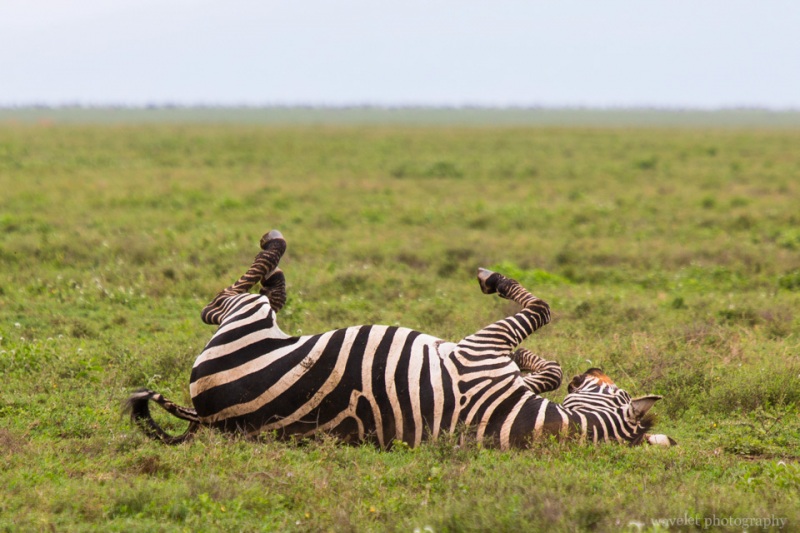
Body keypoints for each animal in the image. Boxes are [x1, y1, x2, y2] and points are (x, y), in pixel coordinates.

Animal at [127, 230, 675, 449]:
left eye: (619, 391)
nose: (593, 370)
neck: (534, 423)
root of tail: (210, 419)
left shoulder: (481, 349)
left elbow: (540, 308)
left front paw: (491, 280)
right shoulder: (486, 353)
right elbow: (545, 360)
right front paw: (531, 360)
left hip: (245, 324)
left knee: (224, 301)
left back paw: (275, 255)